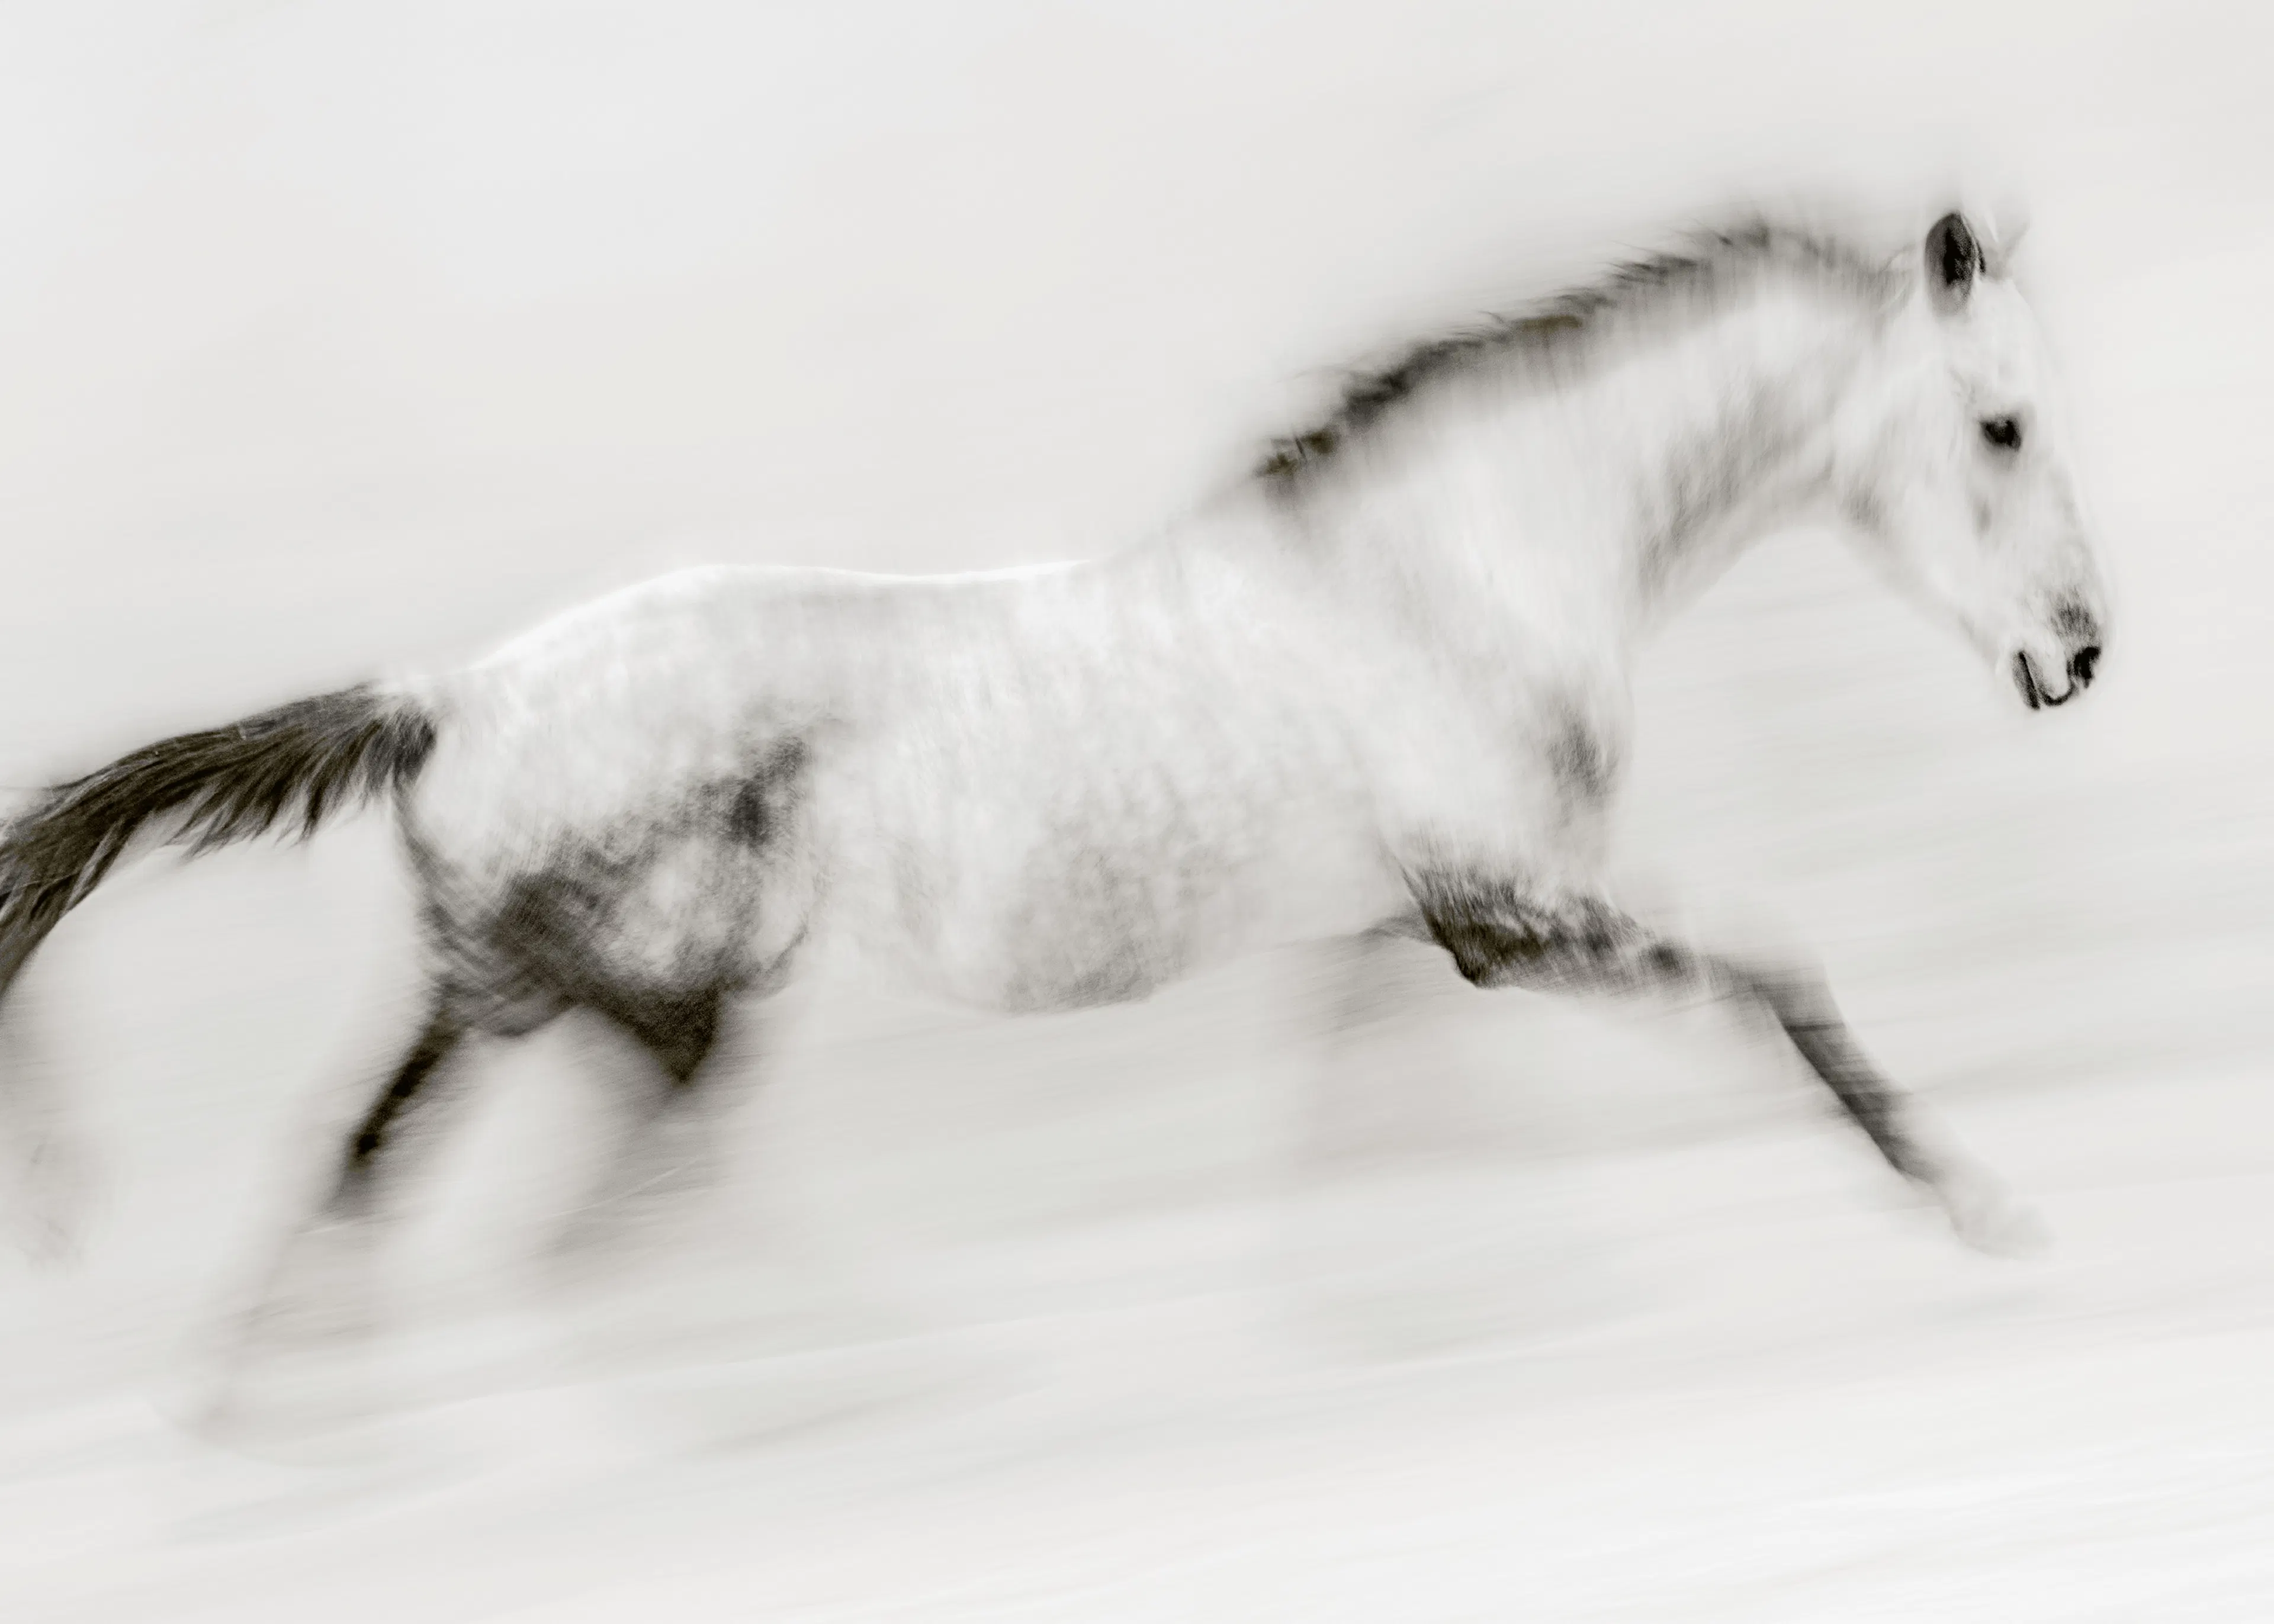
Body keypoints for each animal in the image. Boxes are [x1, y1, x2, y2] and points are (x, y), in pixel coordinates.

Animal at [0, 210, 2108, 1356]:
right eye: (2001, 424)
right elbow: (1780, 978)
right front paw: (1983, 1204)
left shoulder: (1402, 924)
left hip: (561, 1005)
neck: (1447, 570)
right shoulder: (1507, 908)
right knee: (530, 1225)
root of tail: (447, 698)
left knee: (387, 1177)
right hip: (640, 1002)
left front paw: (1412, 1312)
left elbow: (1357, 1112)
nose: (2078, 652)